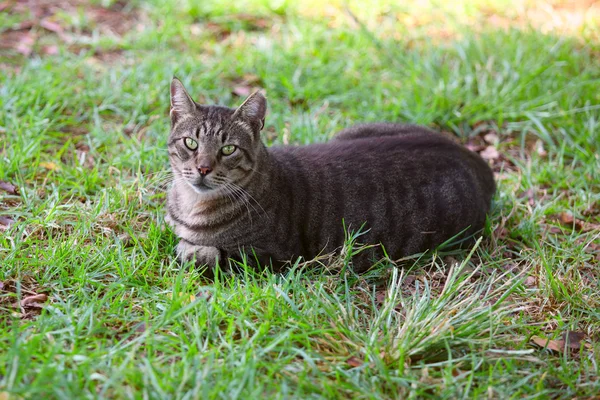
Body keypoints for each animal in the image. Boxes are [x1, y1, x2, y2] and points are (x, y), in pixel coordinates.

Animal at [165, 77, 496, 276]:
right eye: (191, 143)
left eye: (228, 149)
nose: (203, 168)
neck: (192, 206)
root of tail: (475, 158)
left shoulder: (274, 257)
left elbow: (202, 254)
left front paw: (190, 249)